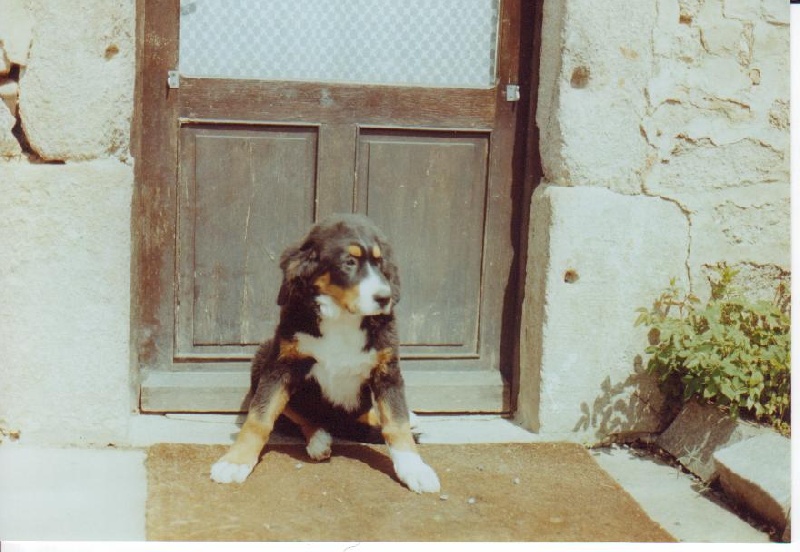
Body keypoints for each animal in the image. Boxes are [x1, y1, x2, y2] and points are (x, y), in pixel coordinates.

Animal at [209, 213, 440, 494]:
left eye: (379, 262)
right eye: (349, 262)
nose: (385, 298)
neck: (342, 318)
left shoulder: (387, 371)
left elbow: (396, 424)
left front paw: (414, 468)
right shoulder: (280, 365)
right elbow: (259, 417)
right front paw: (235, 462)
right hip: (263, 357)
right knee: (299, 414)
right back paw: (319, 438)